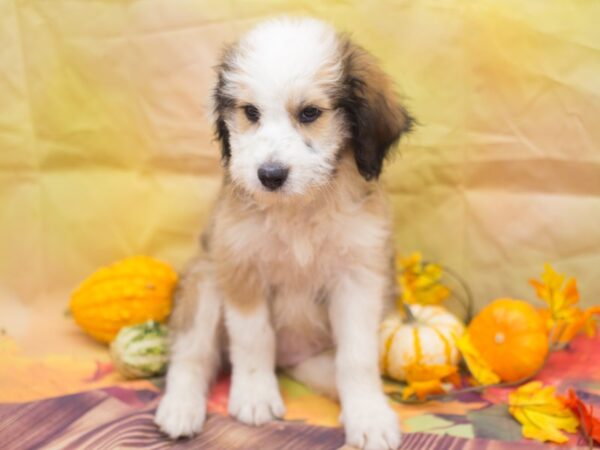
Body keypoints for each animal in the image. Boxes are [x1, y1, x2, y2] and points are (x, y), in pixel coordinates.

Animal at [156, 16, 412, 450]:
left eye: (309, 113)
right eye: (250, 112)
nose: (270, 175)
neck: (298, 212)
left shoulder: (358, 280)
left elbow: (357, 357)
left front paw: (369, 414)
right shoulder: (240, 268)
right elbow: (252, 339)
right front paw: (255, 395)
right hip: (205, 283)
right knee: (192, 356)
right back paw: (180, 407)